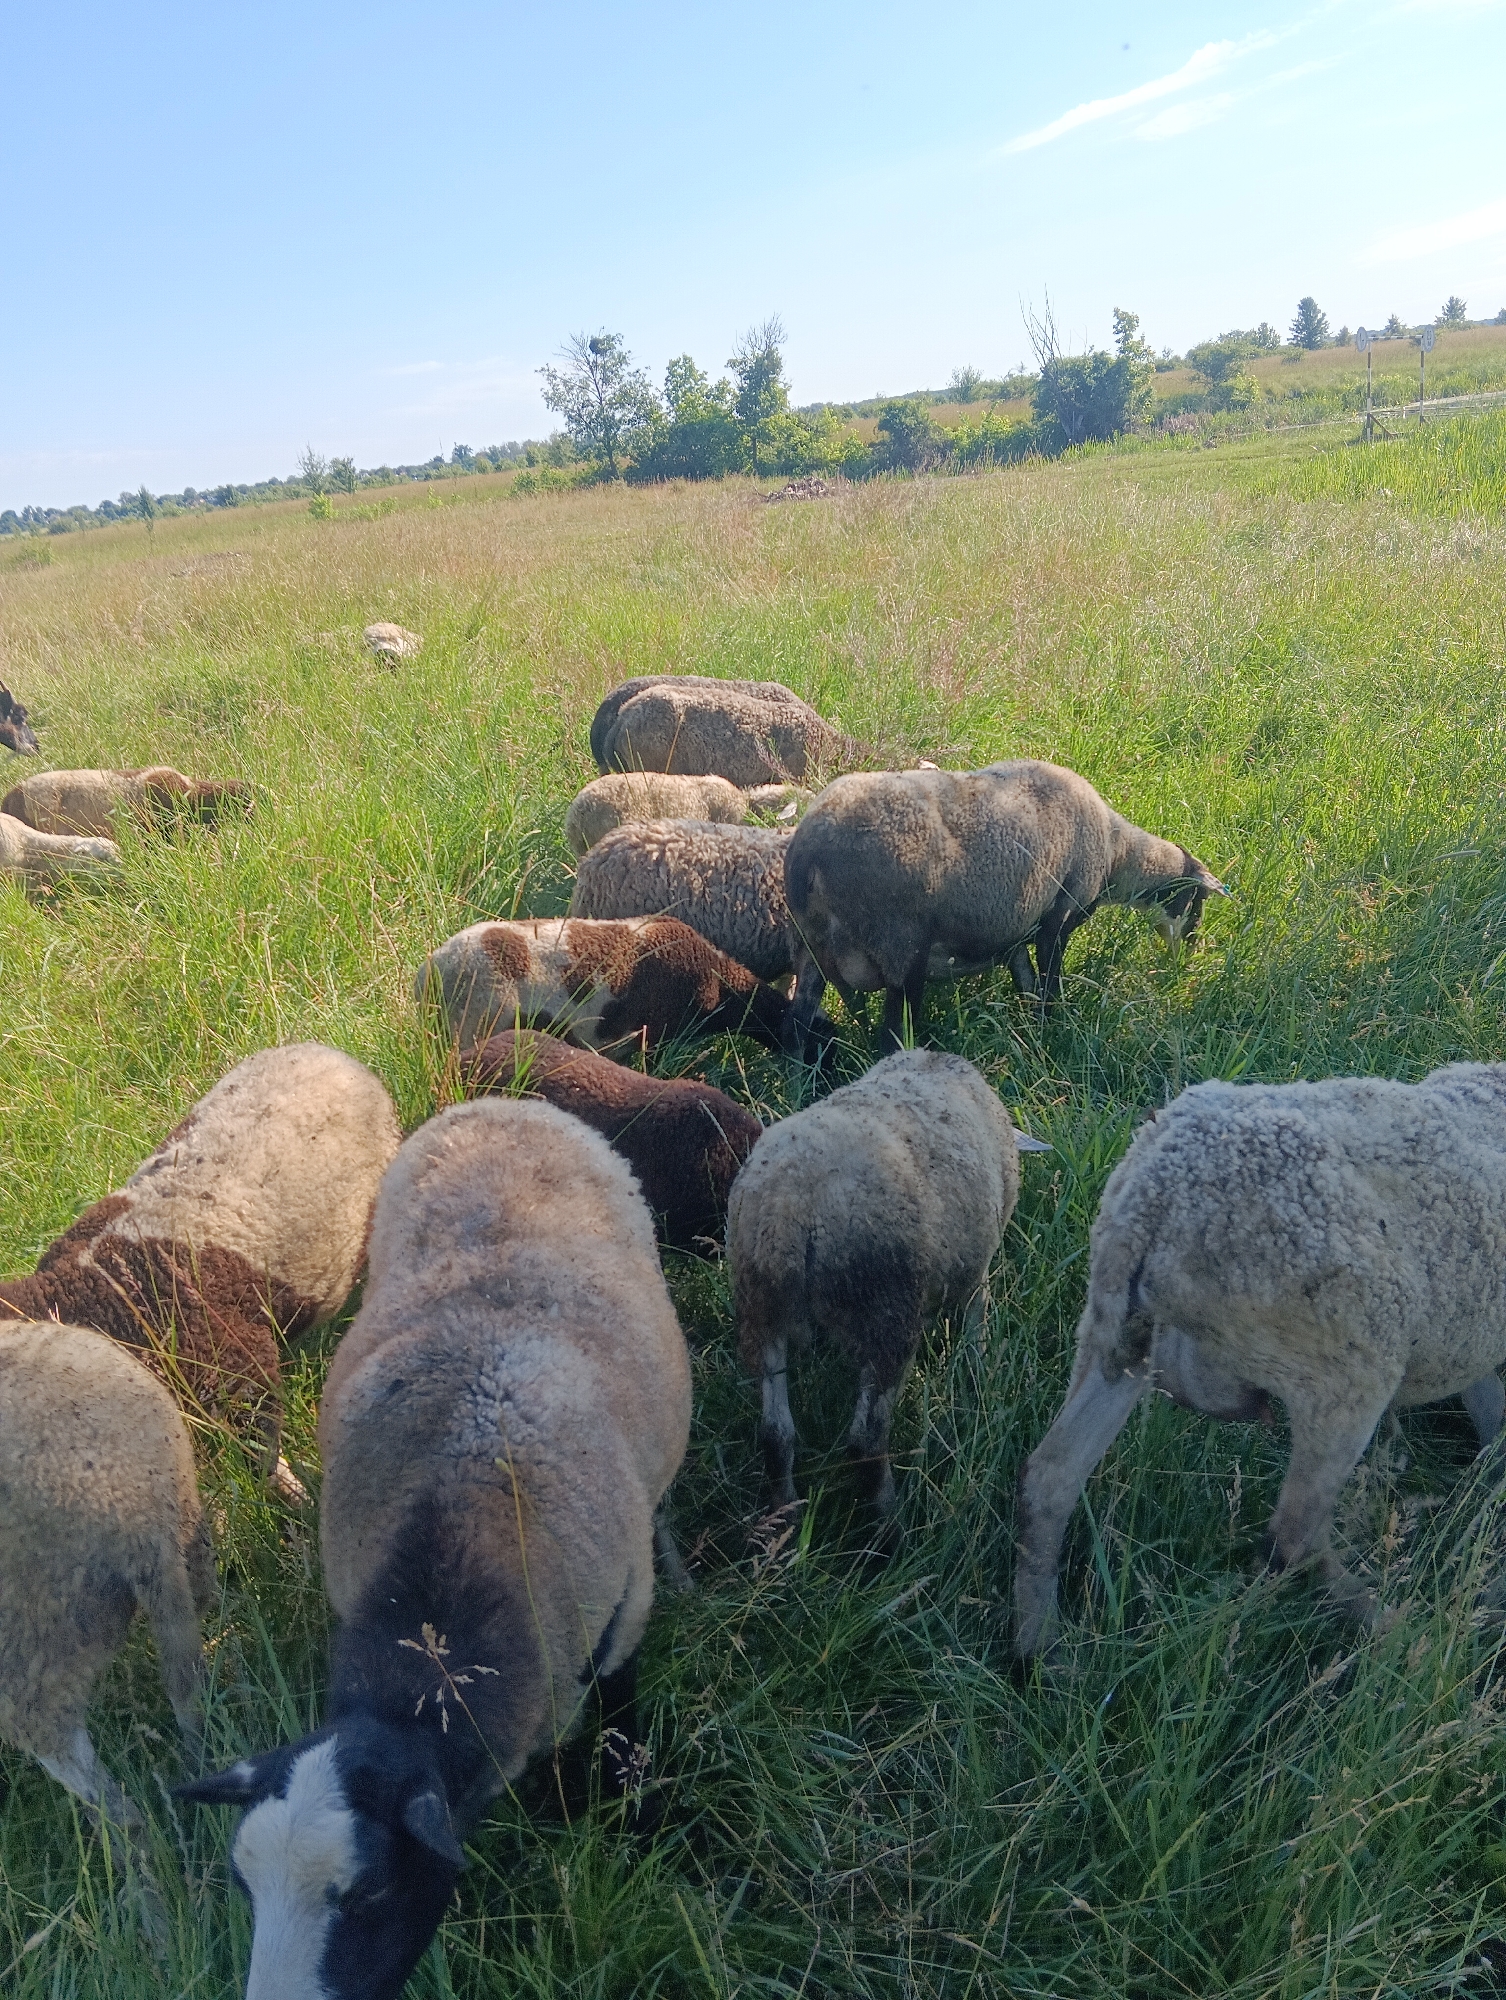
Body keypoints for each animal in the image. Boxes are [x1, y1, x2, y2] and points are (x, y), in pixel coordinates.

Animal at [1, 1322, 214, 1831]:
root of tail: (125, 1502)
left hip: (29, 1632)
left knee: (61, 1748)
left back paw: (127, 1836)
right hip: (186, 1534)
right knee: (188, 1675)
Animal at [179, 1098, 692, 2000]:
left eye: (372, 1892)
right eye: (245, 1884)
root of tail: (501, 1104)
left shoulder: (619, 1628)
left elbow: (624, 1738)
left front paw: (637, 1828)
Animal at [728, 1049, 1024, 1521]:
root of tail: (792, 1210)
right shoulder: (976, 1268)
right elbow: (977, 1317)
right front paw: (977, 1369)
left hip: (760, 1305)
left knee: (776, 1433)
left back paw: (784, 1517)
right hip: (886, 1308)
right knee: (865, 1442)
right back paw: (889, 1522)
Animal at [782, 759, 1226, 1054]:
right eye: (1198, 903)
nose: (1187, 959)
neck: (1116, 850)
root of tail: (808, 852)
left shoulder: (1015, 931)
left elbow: (1026, 981)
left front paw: (1033, 1031)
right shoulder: (1058, 917)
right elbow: (1048, 983)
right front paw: (1053, 1026)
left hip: (811, 949)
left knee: (798, 1027)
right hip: (900, 947)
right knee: (890, 1039)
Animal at [1013, 1062, 1506, 1660]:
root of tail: (1154, 1201)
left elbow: (1493, 1416)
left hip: (1119, 1341)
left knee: (1050, 1478)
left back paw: (1039, 1649)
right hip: (1346, 1367)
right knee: (1294, 1536)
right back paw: (1396, 1630)